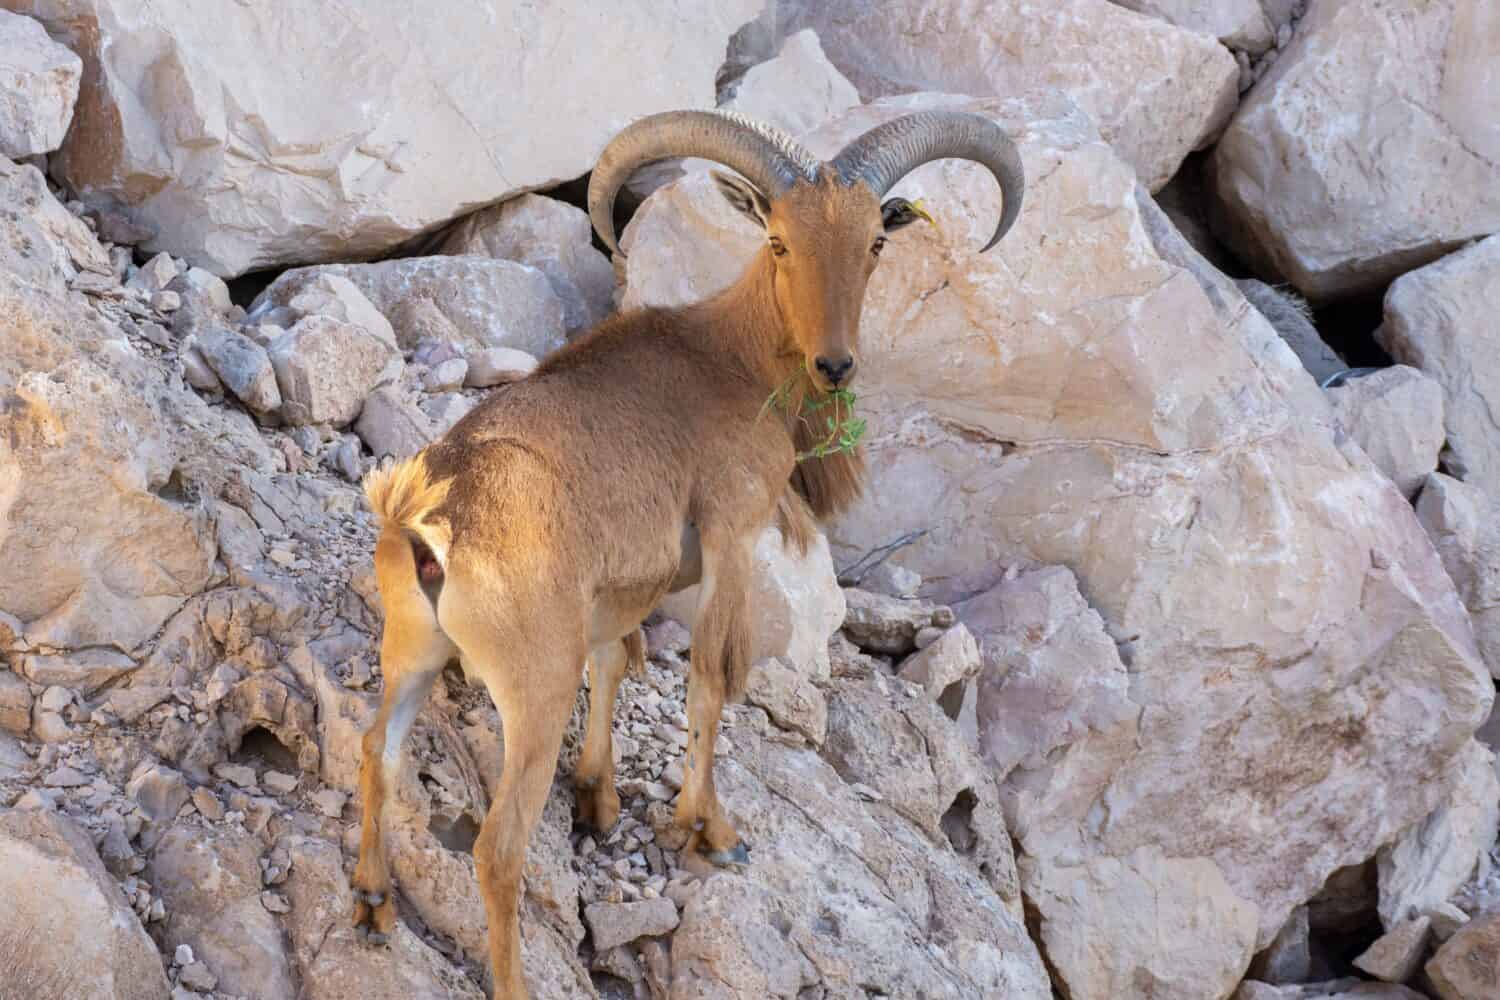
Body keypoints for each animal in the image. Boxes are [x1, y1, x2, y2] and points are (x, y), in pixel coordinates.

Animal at [357, 105, 1026, 995]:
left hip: (411, 652)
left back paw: (371, 903)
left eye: (874, 244)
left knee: (376, 750)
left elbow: (618, 659)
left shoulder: (619, 590)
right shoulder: (732, 533)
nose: (835, 362)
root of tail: (430, 515)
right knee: (499, 848)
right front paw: (709, 829)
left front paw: (601, 798)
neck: (734, 357)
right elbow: (713, 677)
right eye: (779, 240)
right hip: (533, 684)